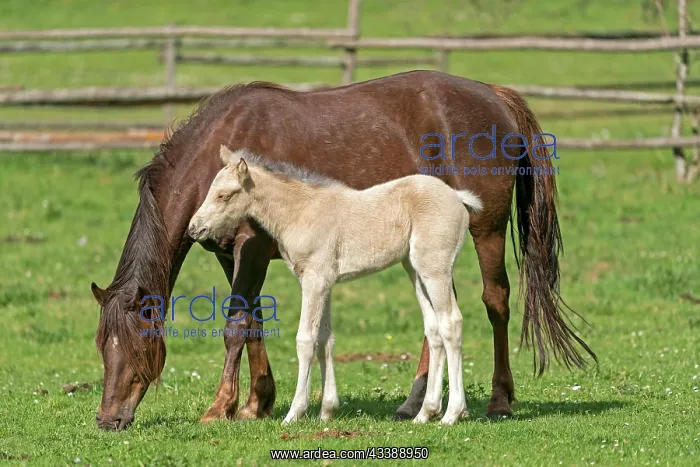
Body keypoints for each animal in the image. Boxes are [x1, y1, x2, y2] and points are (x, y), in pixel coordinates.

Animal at [188, 147, 484, 424]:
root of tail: (457, 197)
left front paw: (294, 413)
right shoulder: (326, 283)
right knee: (433, 330)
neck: (300, 211)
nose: (194, 229)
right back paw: (425, 413)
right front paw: (327, 410)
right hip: (415, 271)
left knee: (451, 323)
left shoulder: (314, 280)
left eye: (224, 195)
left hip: (435, 270)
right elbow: (324, 339)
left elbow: (306, 340)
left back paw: (452, 414)